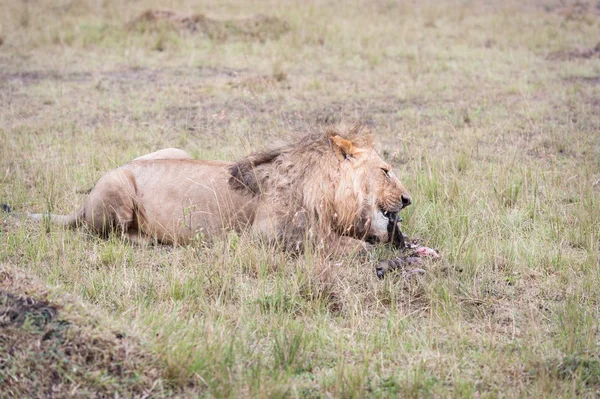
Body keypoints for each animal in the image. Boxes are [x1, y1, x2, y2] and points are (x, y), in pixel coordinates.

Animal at [12, 123, 412, 258]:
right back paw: (148, 240)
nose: (408, 200)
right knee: (105, 234)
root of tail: (82, 203)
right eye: (385, 170)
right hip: (117, 188)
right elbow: (343, 246)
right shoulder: (267, 234)